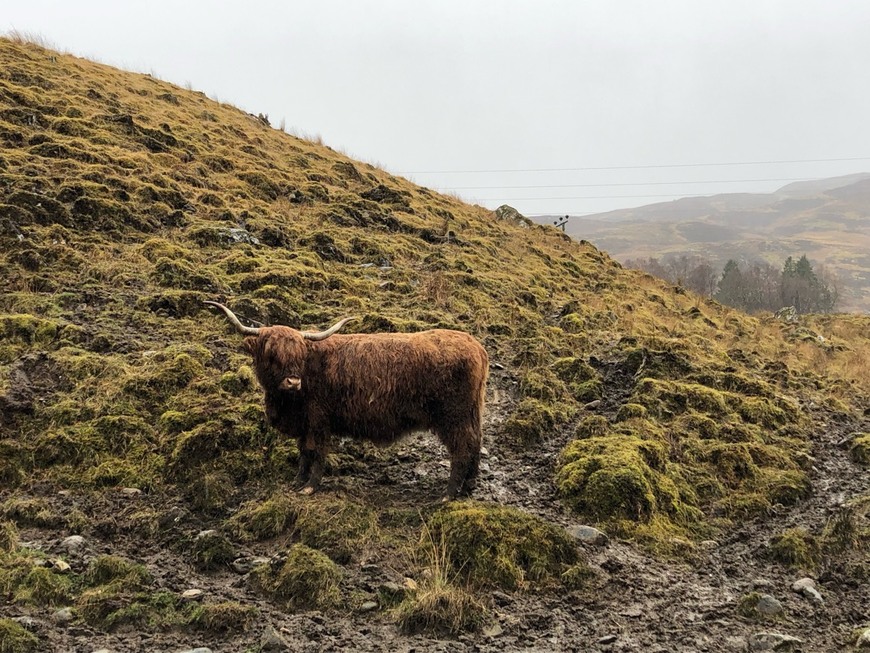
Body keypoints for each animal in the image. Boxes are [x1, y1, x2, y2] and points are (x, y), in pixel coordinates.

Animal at [206, 302, 490, 500]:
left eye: (298, 354)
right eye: (270, 353)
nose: (292, 382)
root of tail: (476, 346)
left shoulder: (319, 420)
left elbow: (317, 452)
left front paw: (310, 486)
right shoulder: (304, 423)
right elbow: (303, 452)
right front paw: (298, 481)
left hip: (453, 417)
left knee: (462, 449)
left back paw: (449, 494)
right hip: (471, 412)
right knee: (475, 442)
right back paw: (469, 486)